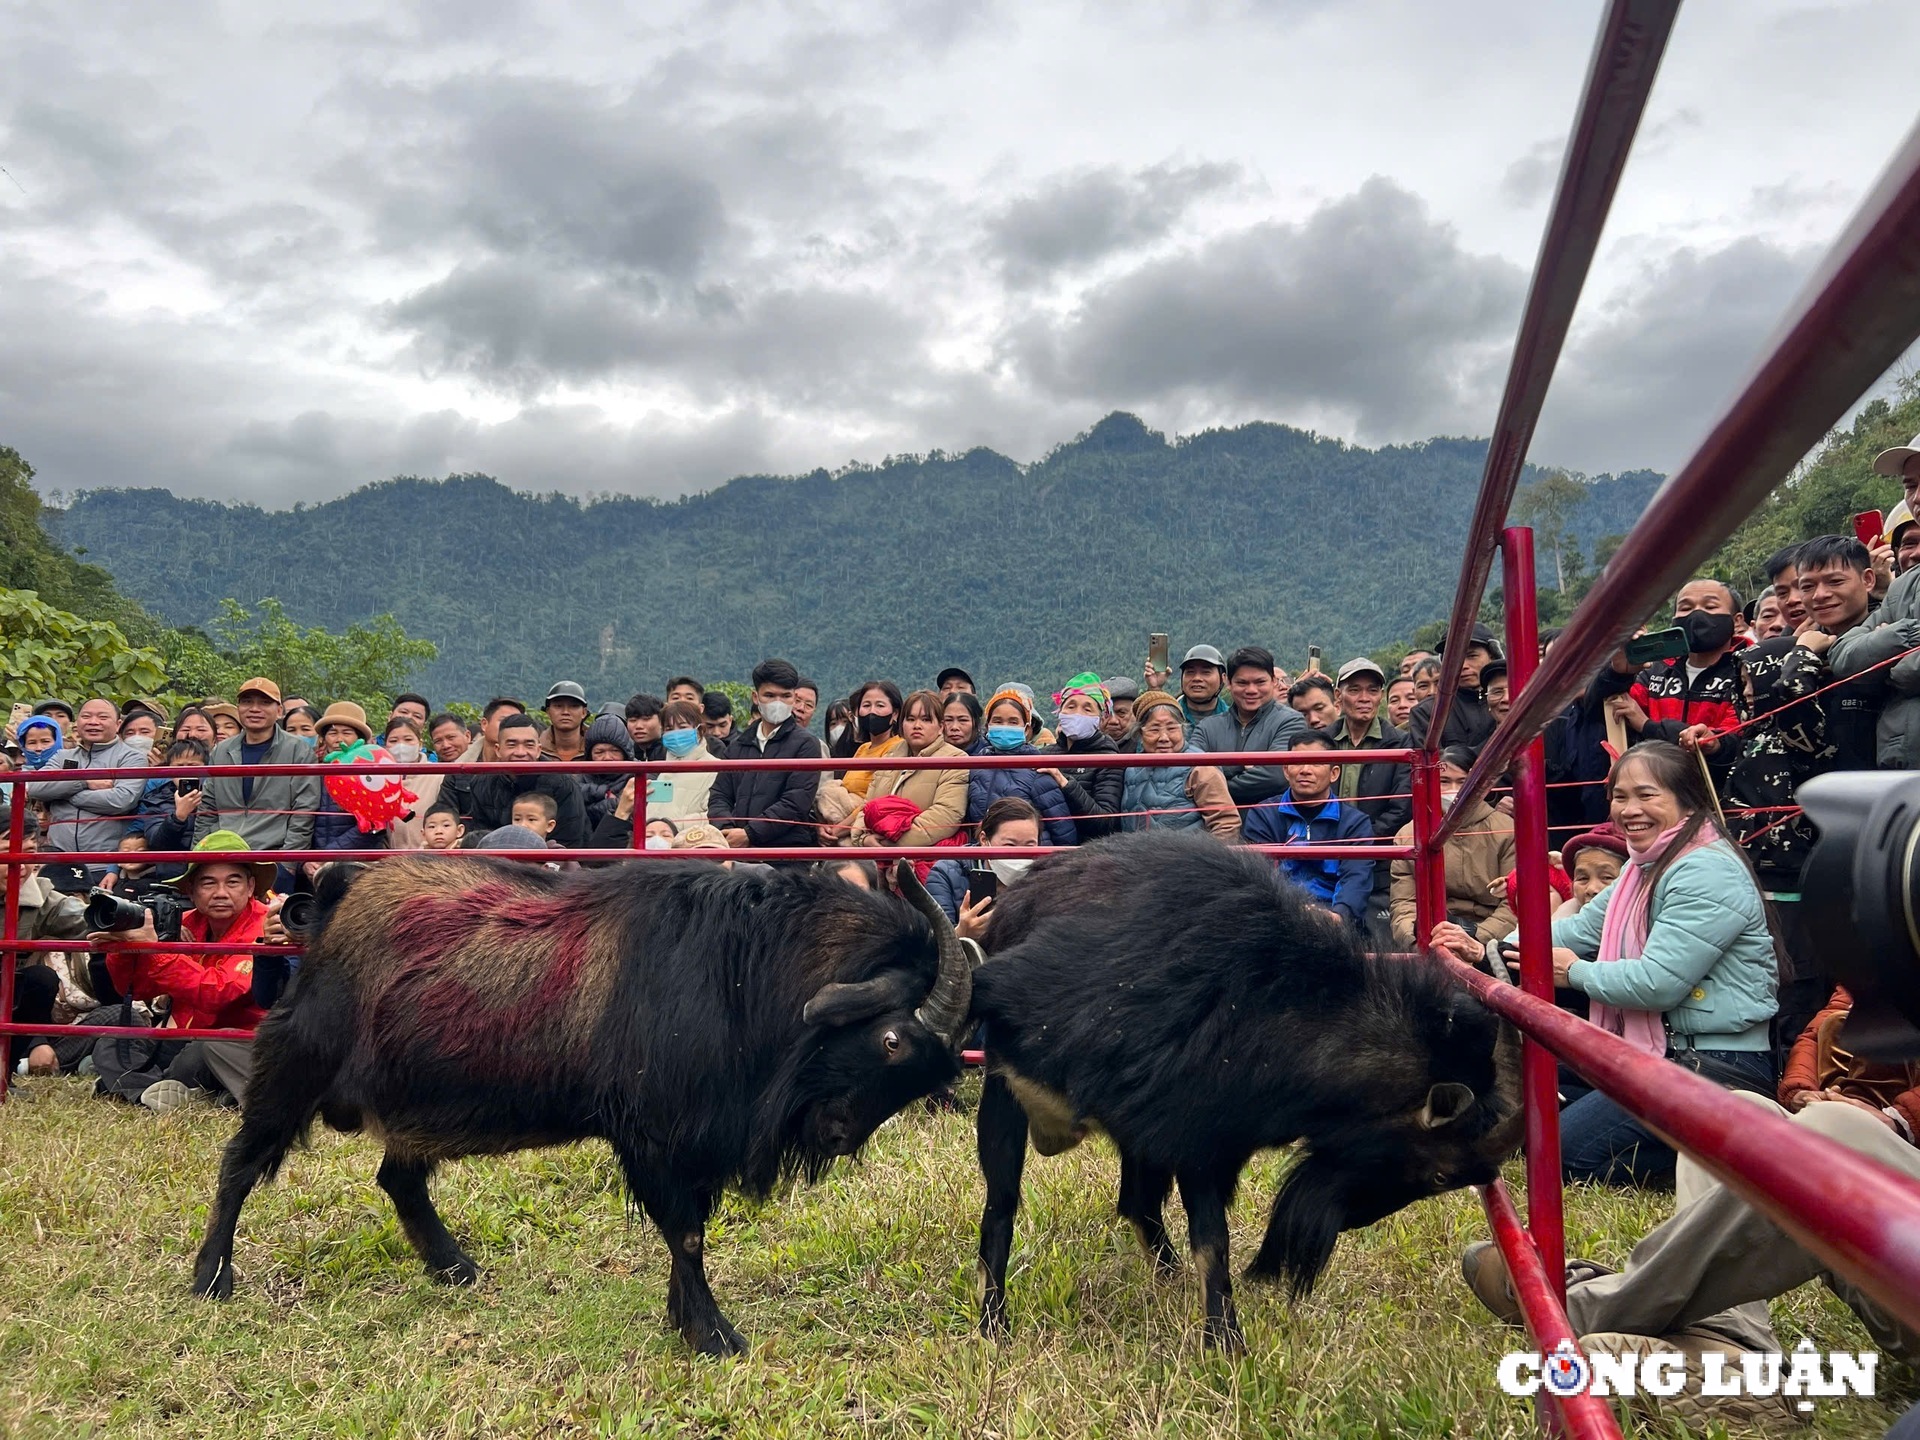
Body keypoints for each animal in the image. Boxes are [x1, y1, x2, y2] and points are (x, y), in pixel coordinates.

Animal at [191, 864, 975, 1359]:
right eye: (893, 1039)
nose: (838, 1136)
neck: (740, 970)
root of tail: (337, 899)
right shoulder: (653, 1135)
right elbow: (686, 1234)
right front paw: (713, 1336)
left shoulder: (693, 1145)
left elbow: (689, 1232)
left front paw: (682, 1318)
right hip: (295, 1065)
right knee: (240, 1165)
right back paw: (211, 1277)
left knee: (399, 1179)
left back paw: (456, 1267)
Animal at [967, 833, 1520, 1351]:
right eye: (1441, 1172)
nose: (1353, 1224)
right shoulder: (1191, 1136)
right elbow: (1212, 1243)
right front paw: (1227, 1343)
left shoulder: (1199, 1135)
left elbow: (1185, 1225)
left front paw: (1215, 1332)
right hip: (1004, 1100)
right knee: (1003, 1207)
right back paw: (993, 1322)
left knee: (1137, 1202)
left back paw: (1166, 1278)